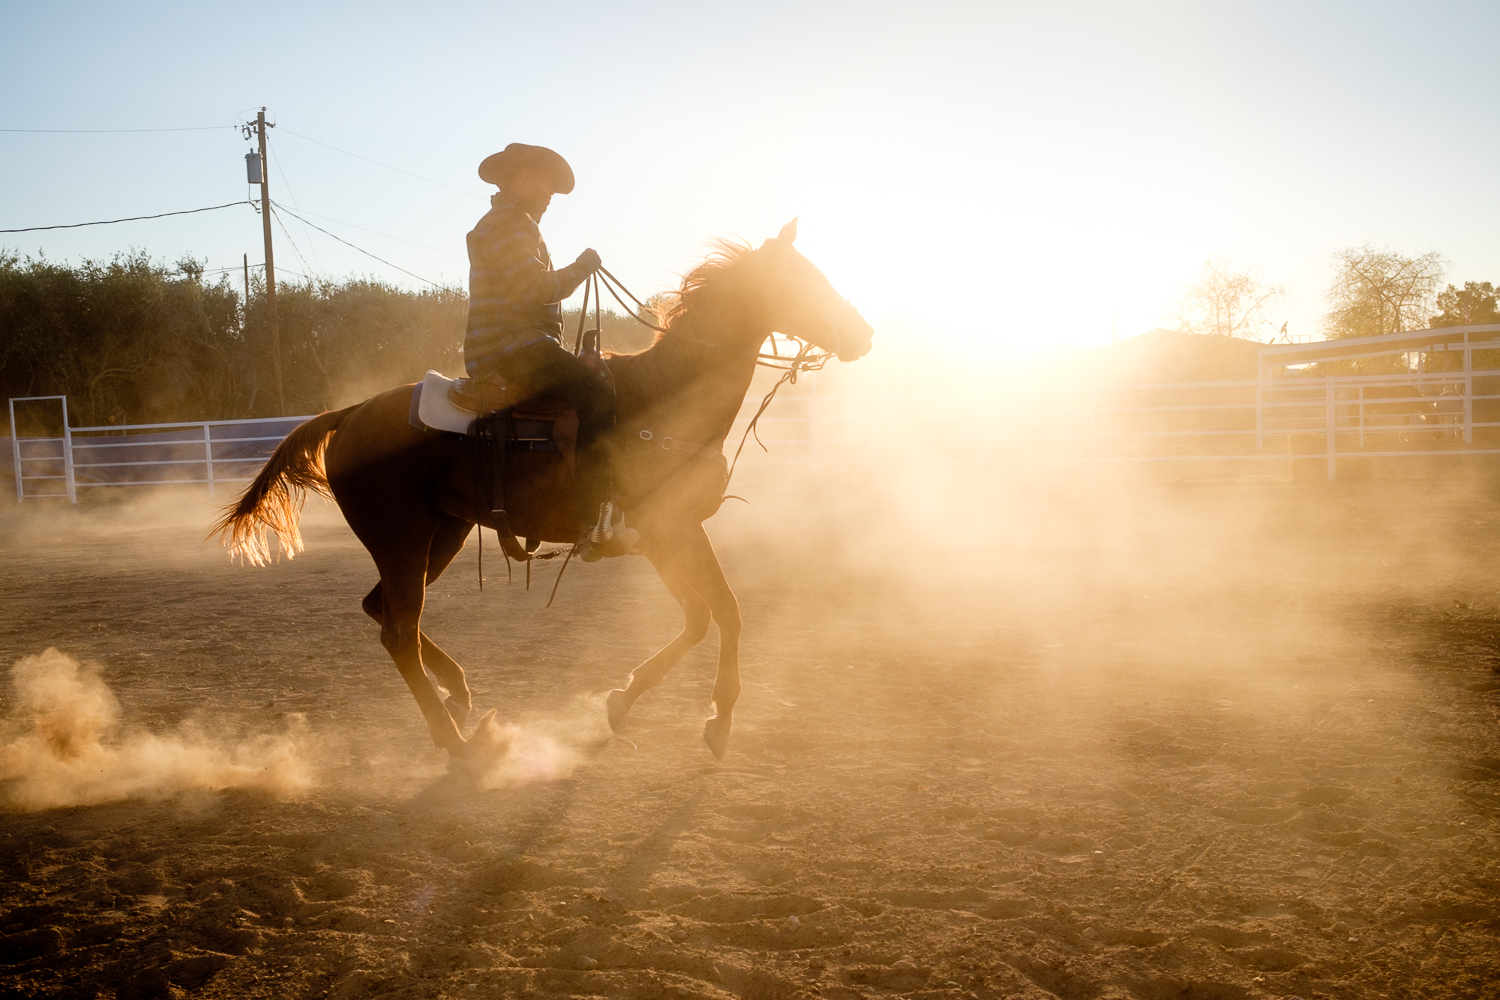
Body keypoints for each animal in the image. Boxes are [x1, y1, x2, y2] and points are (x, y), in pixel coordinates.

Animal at [211, 223, 870, 761]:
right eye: (802, 279)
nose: (863, 333)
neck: (668, 395)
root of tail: (349, 413)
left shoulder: (679, 532)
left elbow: (709, 616)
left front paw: (627, 701)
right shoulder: (666, 533)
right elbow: (717, 614)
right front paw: (718, 719)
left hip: (441, 535)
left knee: (383, 614)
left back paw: (457, 693)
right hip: (403, 540)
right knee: (397, 631)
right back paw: (456, 742)